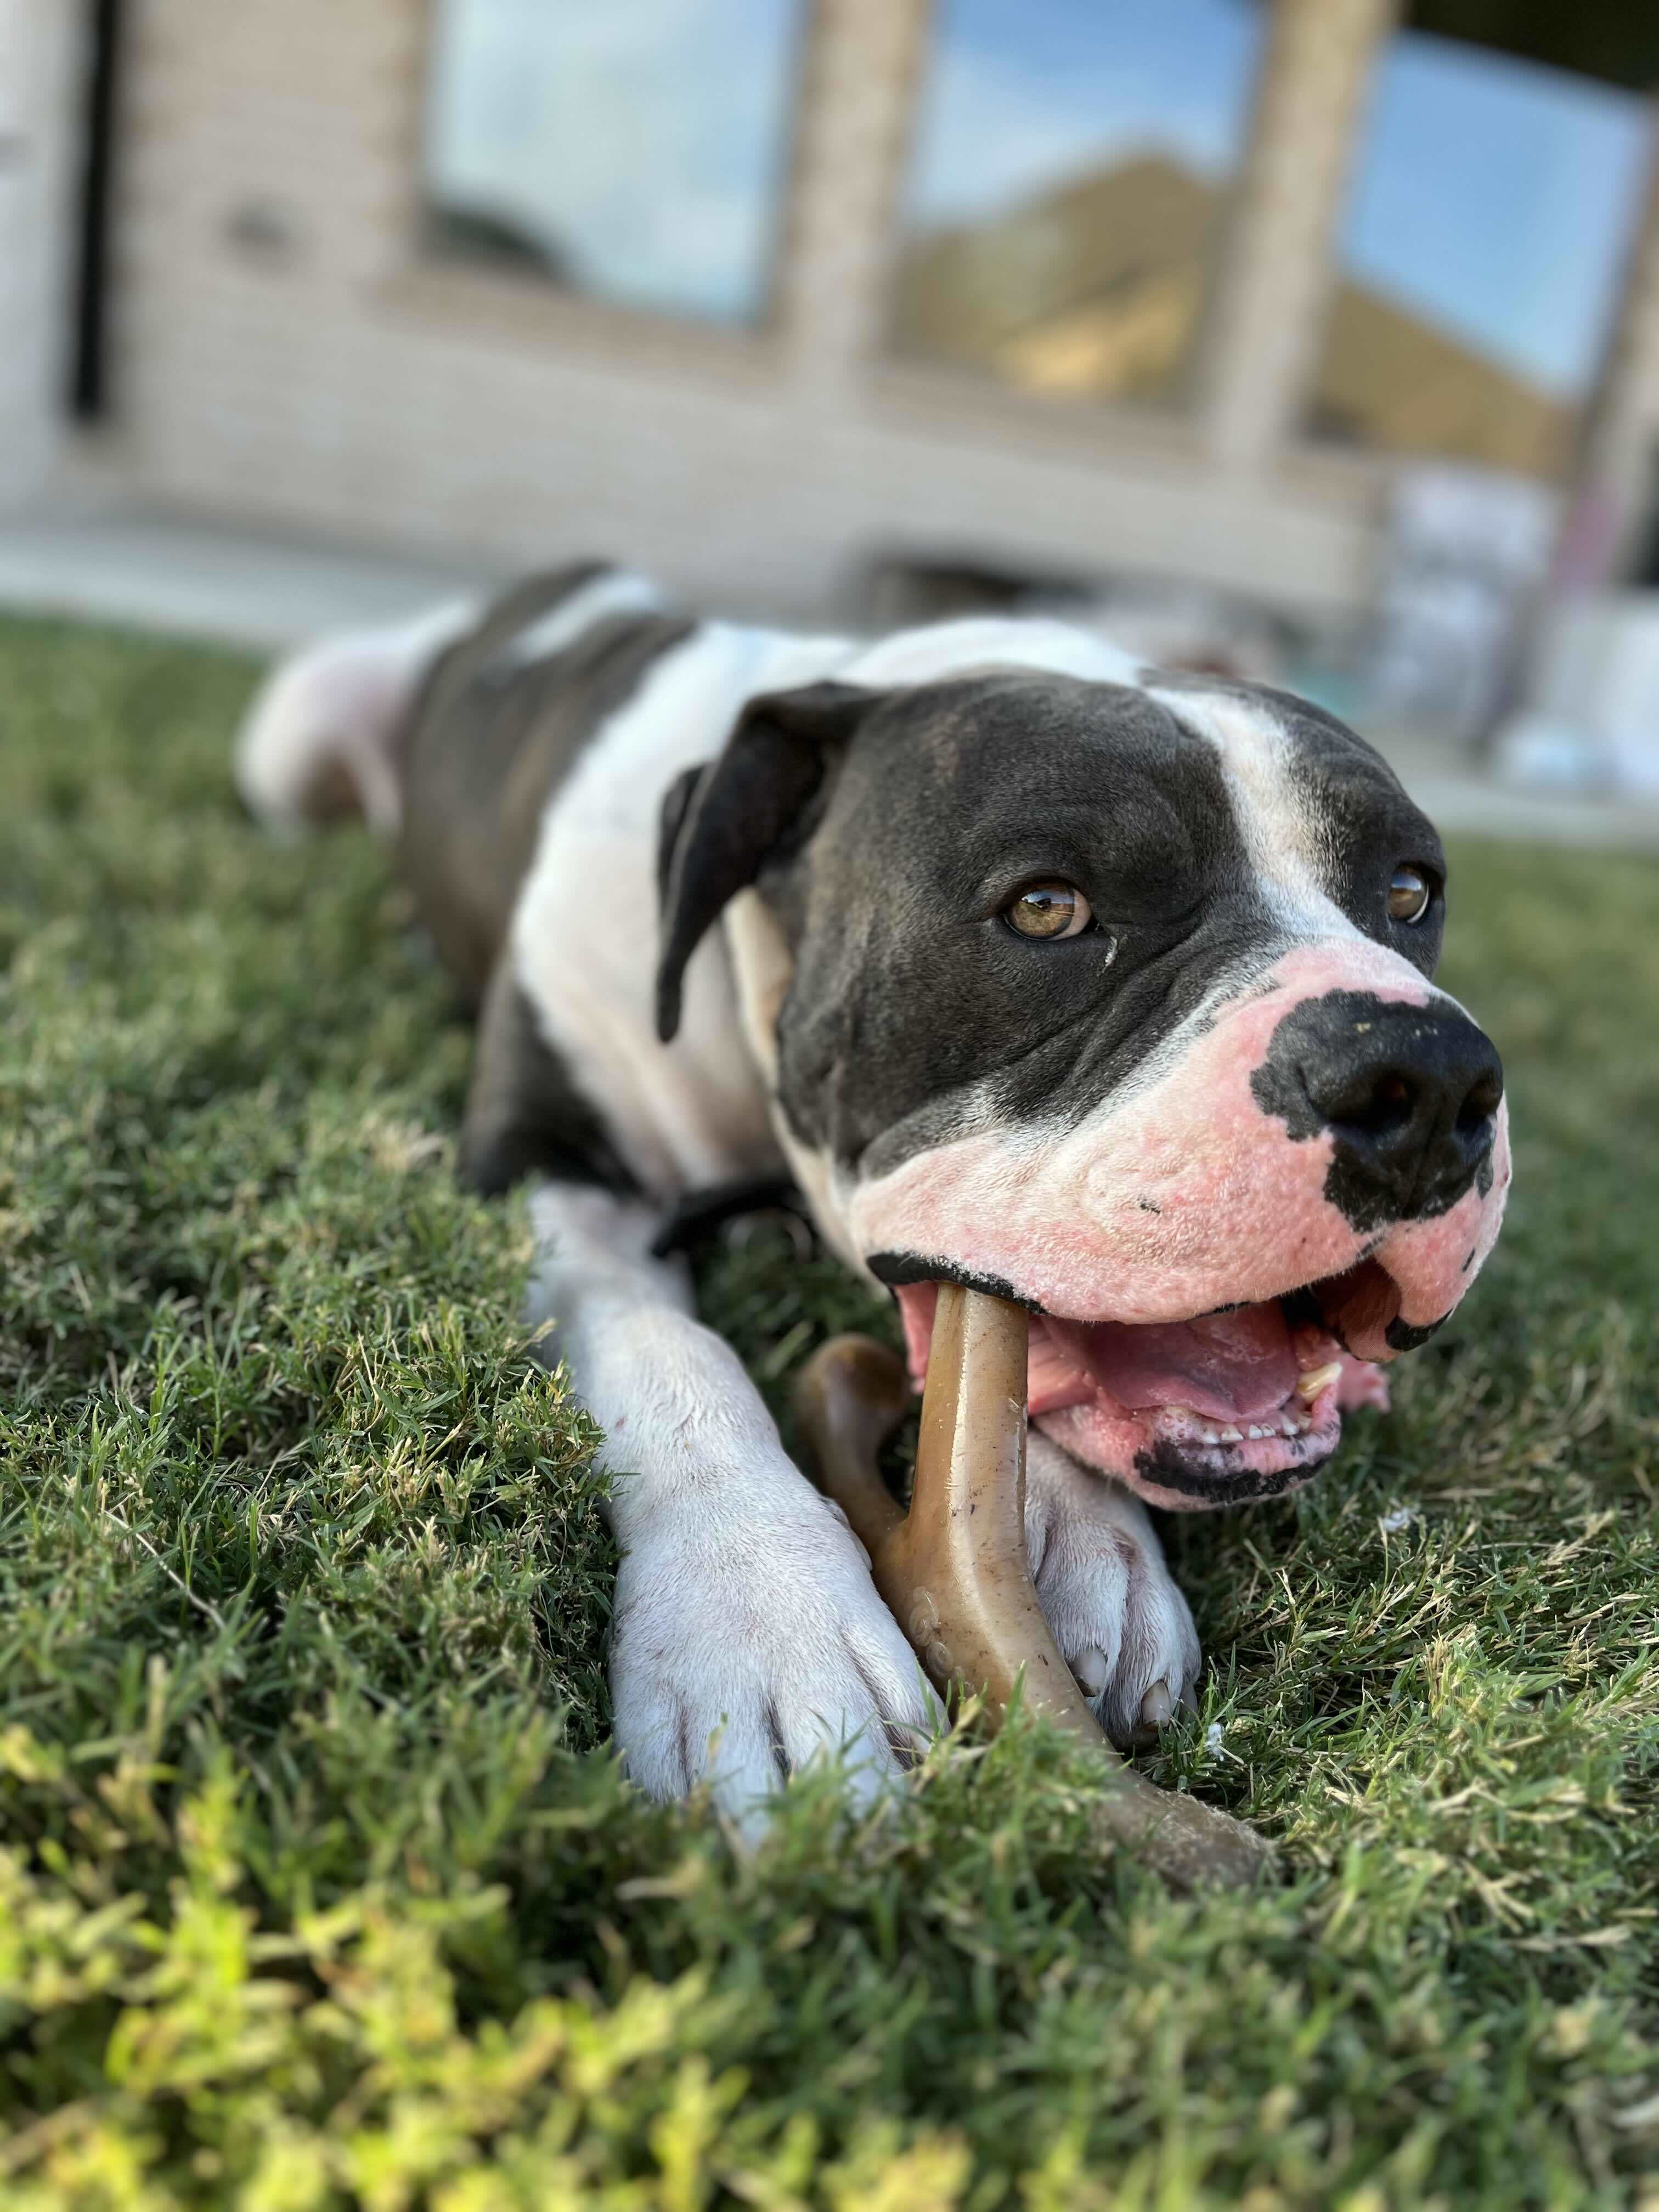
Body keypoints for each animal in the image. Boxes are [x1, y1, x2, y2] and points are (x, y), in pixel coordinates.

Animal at [236, 562, 1522, 1822]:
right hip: (297, 729)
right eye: (1046, 907)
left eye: (1411, 893)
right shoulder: (540, 1170)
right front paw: (761, 1619)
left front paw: (1090, 1541)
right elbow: (666, 1345)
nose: (1424, 1072)